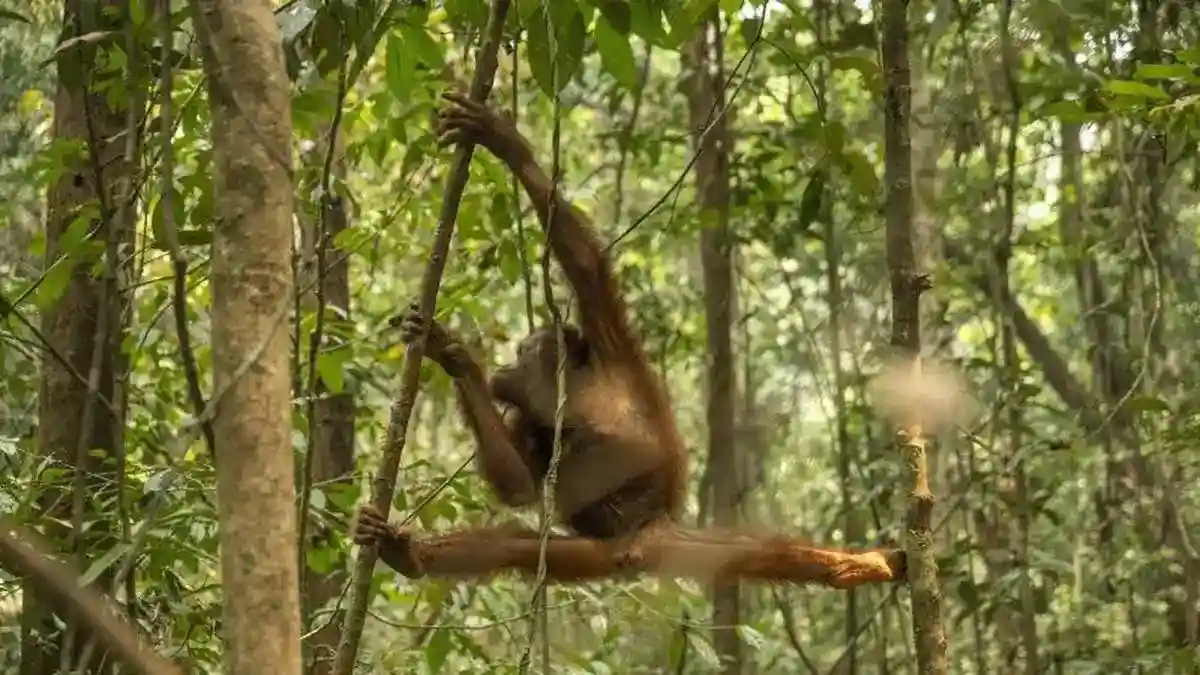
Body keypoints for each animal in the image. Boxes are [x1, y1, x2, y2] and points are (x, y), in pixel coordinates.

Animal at [351, 92, 906, 589]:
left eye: (524, 351)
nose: (505, 366)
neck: (574, 390)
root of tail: (644, 546)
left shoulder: (612, 344)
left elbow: (585, 264)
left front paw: (503, 141)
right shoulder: (533, 422)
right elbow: (518, 484)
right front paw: (452, 355)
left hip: (678, 543)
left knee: (769, 551)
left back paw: (865, 565)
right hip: (593, 554)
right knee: (515, 546)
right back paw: (406, 554)